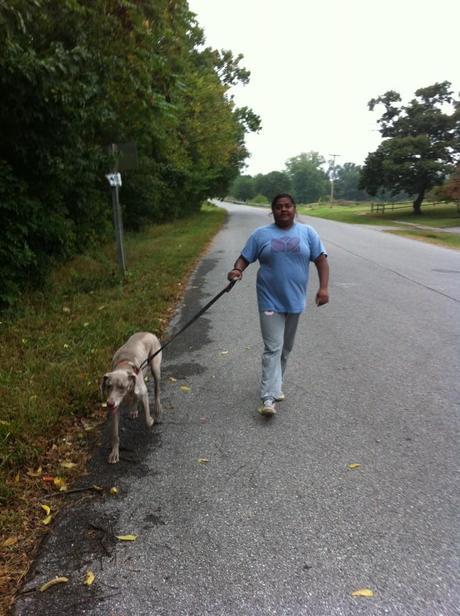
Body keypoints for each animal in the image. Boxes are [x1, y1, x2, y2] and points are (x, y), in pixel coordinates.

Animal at [99, 332, 163, 462]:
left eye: (121, 387)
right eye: (108, 386)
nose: (109, 404)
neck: (124, 363)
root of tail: (148, 332)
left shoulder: (144, 393)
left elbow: (147, 420)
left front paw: (151, 420)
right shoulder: (115, 409)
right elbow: (115, 435)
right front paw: (114, 453)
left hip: (155, 367)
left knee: (157, 390)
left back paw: (157, 409)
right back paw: (133, 410)